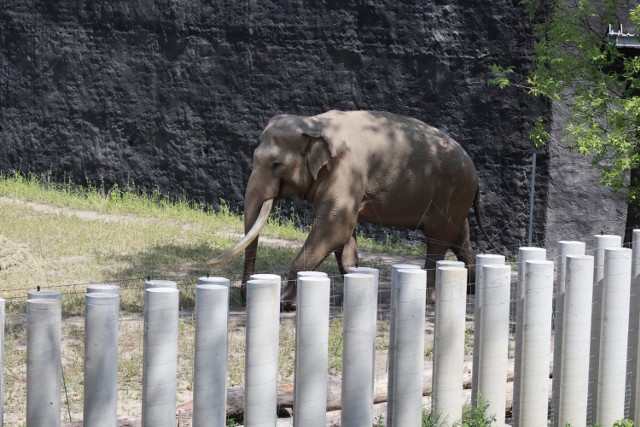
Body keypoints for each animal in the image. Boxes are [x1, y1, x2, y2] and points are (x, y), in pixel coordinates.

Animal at [210, 111, 490, 308]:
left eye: (276, 164)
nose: (244, 294)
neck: (315, 124)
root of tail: (474, 171)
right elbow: (343, 235)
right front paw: (352, 292)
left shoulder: (348, 168)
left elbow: (335, 226)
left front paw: (285, 302)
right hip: (457, 197)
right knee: (459, 237)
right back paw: (472, 288)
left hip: (452, 189)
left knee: (438, 239)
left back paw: (430, 298)